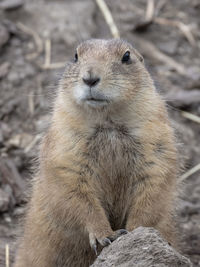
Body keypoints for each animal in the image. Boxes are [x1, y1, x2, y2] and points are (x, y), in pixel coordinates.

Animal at [15, 39, 178, 267]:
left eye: (126, 56)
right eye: (75, 56)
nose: (90, 78)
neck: (108, 123)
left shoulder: (156, 144)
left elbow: (153, 190)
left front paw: (136, 233)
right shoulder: (64, 149)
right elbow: (76, 195)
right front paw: (105, 235)